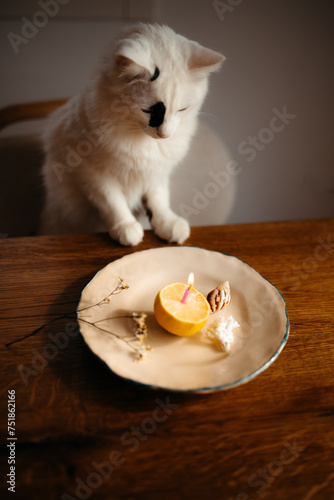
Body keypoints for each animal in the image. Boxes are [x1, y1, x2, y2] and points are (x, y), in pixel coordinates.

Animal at [39, 23, 224, 246]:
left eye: (182, 110)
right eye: (148, 111)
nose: (164, 135)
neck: (143, 141)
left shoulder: (156, 172)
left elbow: (158, 200)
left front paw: (167, 223)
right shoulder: (91, 173)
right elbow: (112, 202)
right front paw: (126, 228)